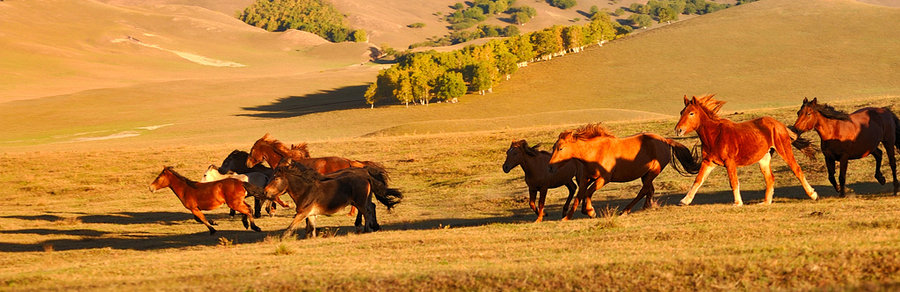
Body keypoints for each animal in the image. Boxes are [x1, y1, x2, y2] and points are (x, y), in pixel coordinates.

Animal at [260, 163, 400, 238]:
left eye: (276, 178)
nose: (265, 192)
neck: (306, 190)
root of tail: (366, 175)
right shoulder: (311, 214)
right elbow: (311, 229)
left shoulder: (303, 213)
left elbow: (290, 227)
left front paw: (282, 238)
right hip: (363, 200)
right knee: (371, 208)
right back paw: (373, 227)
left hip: (360, 202)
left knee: (367, 212)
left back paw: (367, 229)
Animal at [544, 122, 700, 217]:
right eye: (554, 147)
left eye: (561, 148)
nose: (550, 166)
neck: (594, 152)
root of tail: (665, 141)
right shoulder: (585, 179)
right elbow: (579, 196)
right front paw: (567, 217)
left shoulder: (603, 179)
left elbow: (587, 193)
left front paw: (590, 211)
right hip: (645, 174)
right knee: (649, 190)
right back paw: (645, 207)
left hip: (653, 171)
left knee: (644, 190)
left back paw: (625, 210)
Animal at [672, 94, 820, 205]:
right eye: (681, 112)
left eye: (691, 113)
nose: (678, 130)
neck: (715, 135)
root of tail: (779, 125)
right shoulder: (708, 162)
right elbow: (698, 180)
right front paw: (684, 201)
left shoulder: (730, 163)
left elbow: (733, 182)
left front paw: (737, 203)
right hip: (764, 158)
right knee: (770, 178)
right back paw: (765, 202)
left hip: (784, 150)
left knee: (796, 169)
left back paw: (813, 195)